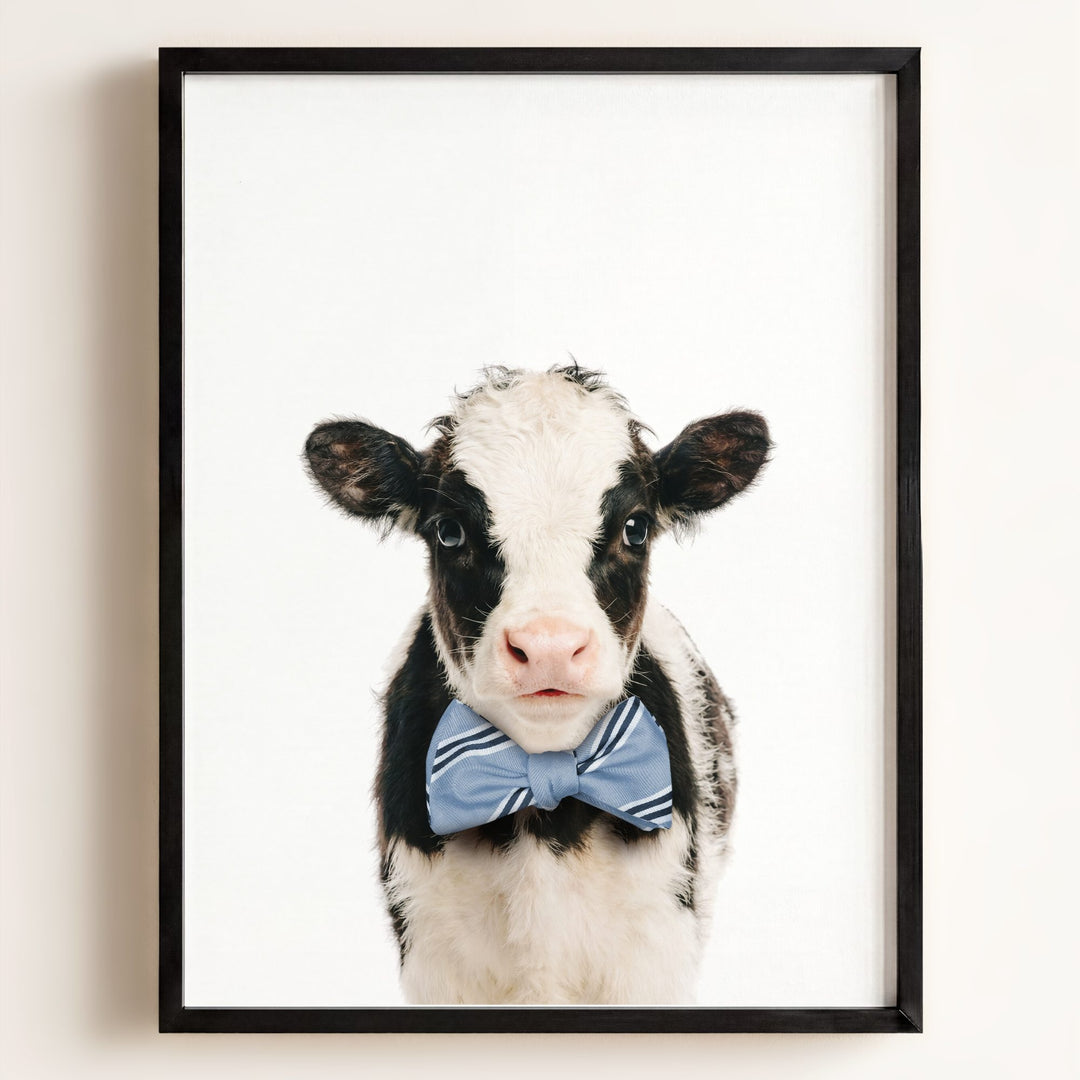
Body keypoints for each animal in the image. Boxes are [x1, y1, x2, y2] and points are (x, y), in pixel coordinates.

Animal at [304, 365, 769, 1004]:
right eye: (449, 531)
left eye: (635, 527)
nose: (549, 646)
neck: (543, 816)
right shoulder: (434, 956)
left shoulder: (656, 951)